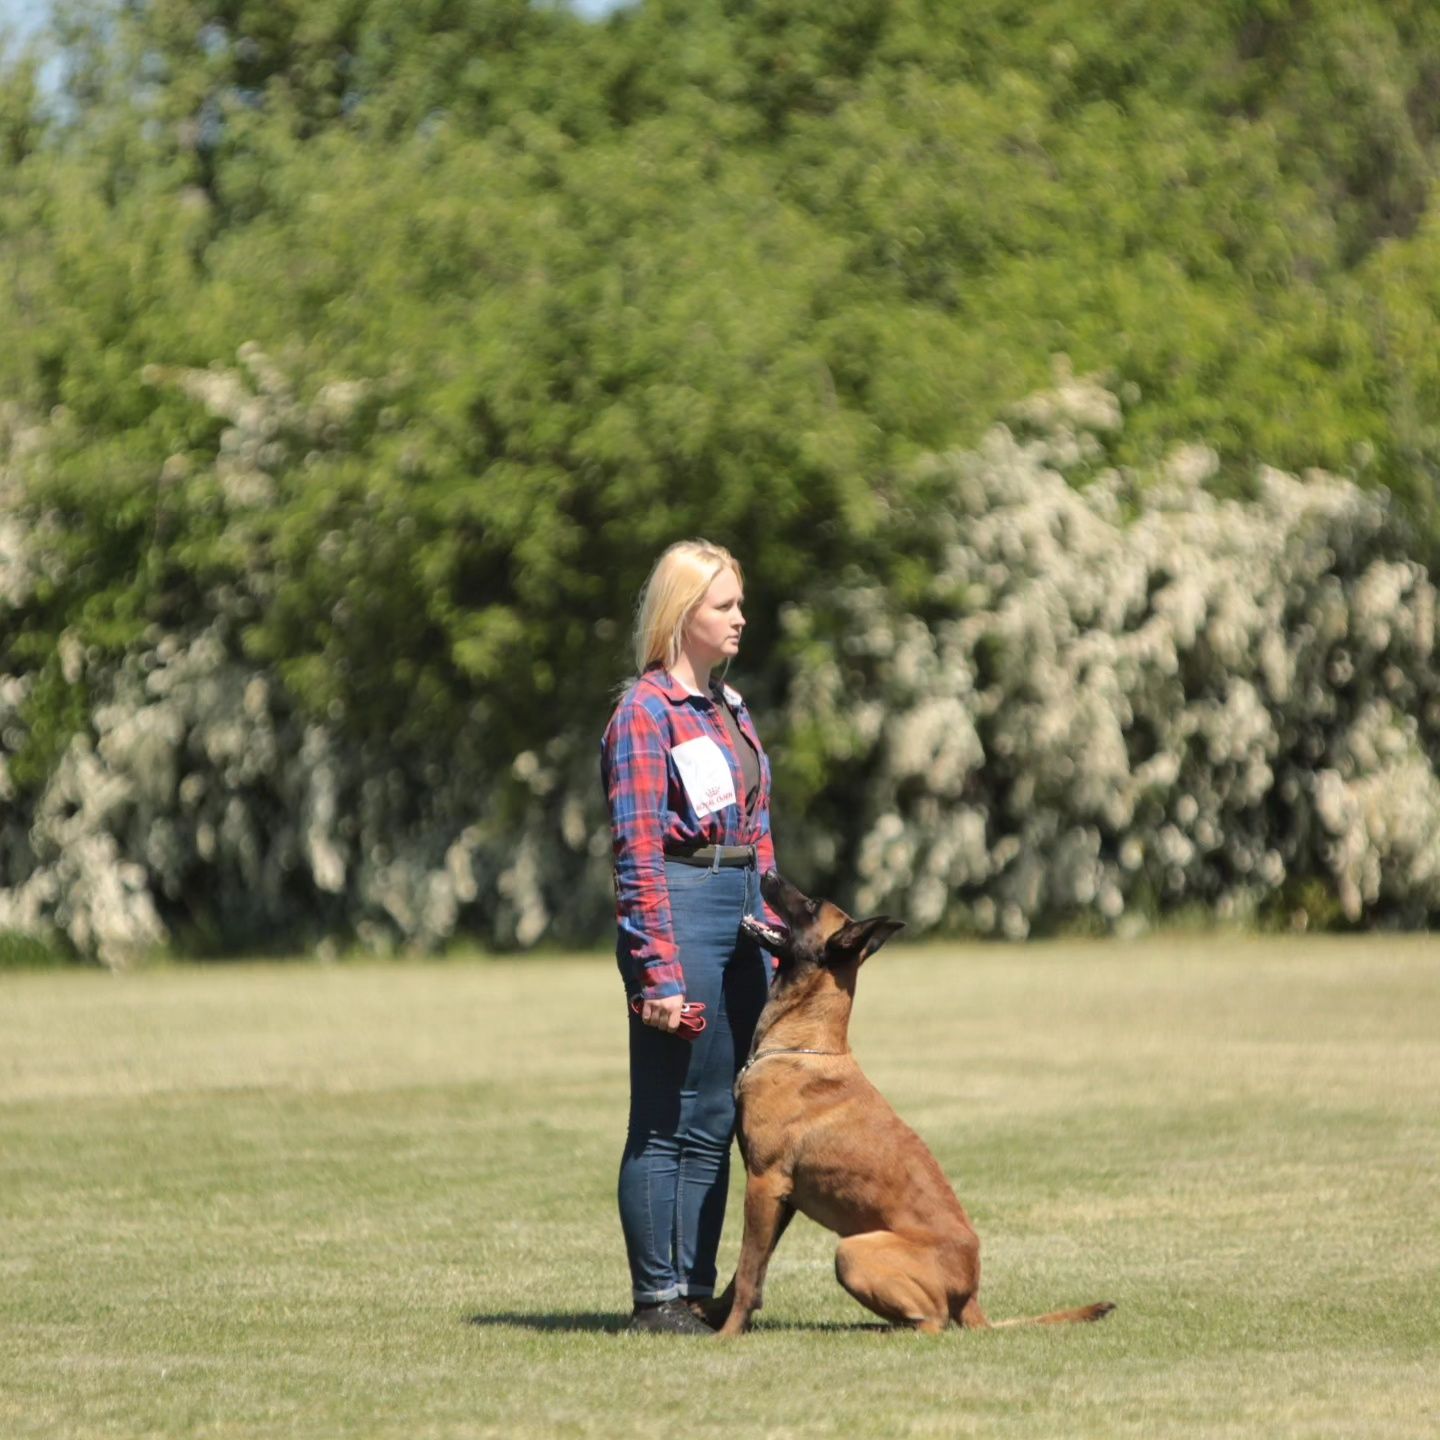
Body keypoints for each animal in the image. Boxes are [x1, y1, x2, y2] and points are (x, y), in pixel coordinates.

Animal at [714, 864, 1117, 1336]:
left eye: (811, 905)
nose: (765, 870)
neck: (804, 1044)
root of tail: (971, 1294)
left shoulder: (765, 1183)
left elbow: (747, 1272)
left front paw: (726, 1334)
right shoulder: (785, 1197)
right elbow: (750, 1272)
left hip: (852, 1252)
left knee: (934, 1321)